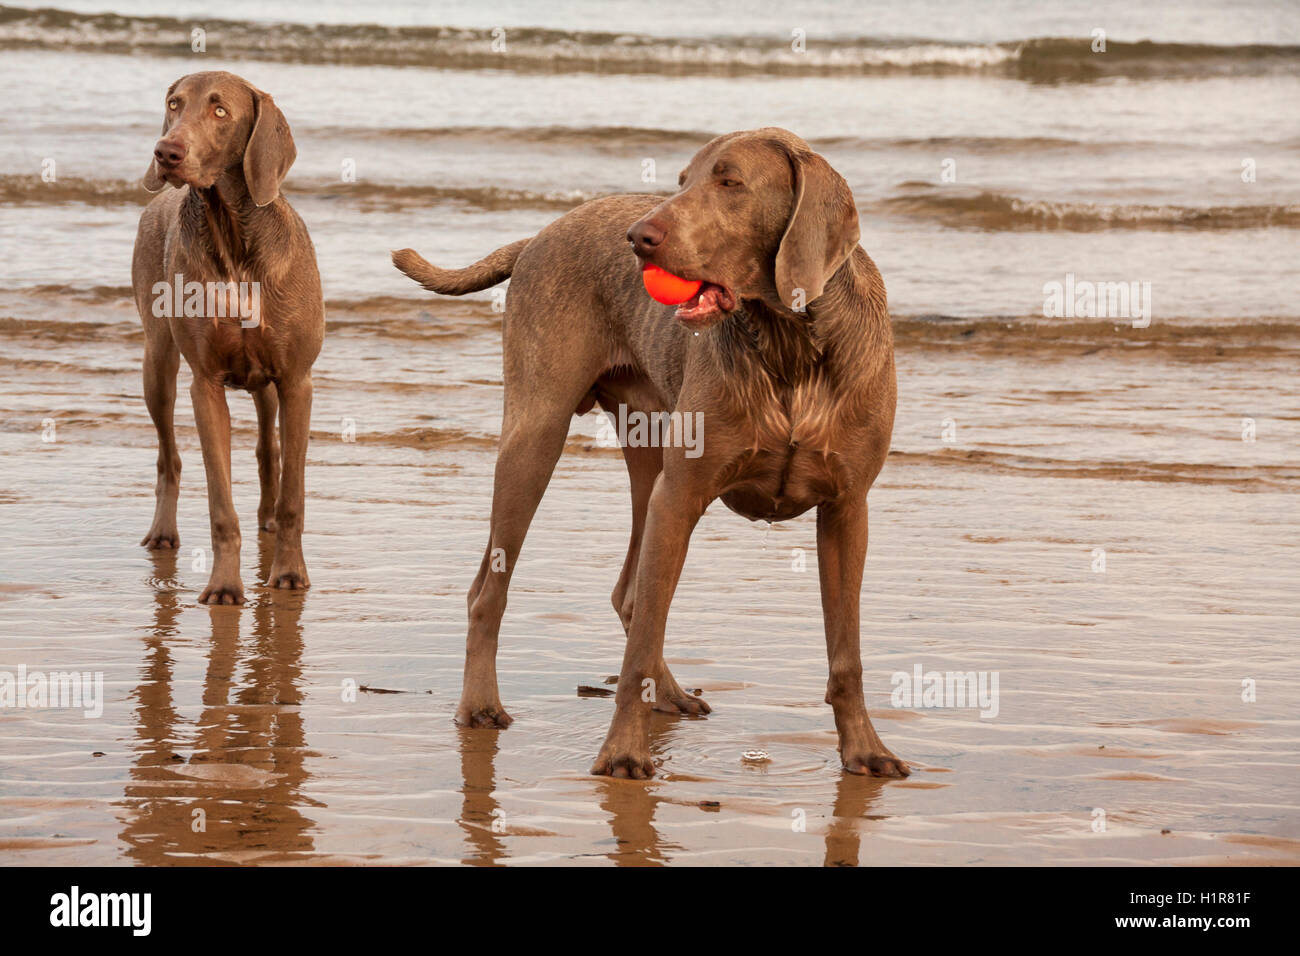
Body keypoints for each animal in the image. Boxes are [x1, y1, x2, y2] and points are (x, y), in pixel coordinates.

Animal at [132, 72, 325, 606]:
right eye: (174, 105)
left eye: (220, 112)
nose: (165, 152)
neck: (233, 236)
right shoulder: (206, 385)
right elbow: (220, 504)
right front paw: (223, 585)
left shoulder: (297, 381)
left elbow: (294, 495)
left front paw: (289, 572)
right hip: (158, 365)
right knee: (169, 457)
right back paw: (163, 531)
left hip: (268, 386)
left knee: (268, 449)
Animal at [390, 125, 909, 780]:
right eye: (681, 181)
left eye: (730, 181)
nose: (638, 238)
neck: (790, 346)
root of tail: (539, 236)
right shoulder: (681, 496)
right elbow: (636, 649)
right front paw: (621, 754)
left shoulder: (847, 508)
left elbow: (847, 652)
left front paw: (865, 748)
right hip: (537, 436)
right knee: (494, 591)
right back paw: (482, 704)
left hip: (649, 454)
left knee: (631, 594)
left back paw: (669, 694)